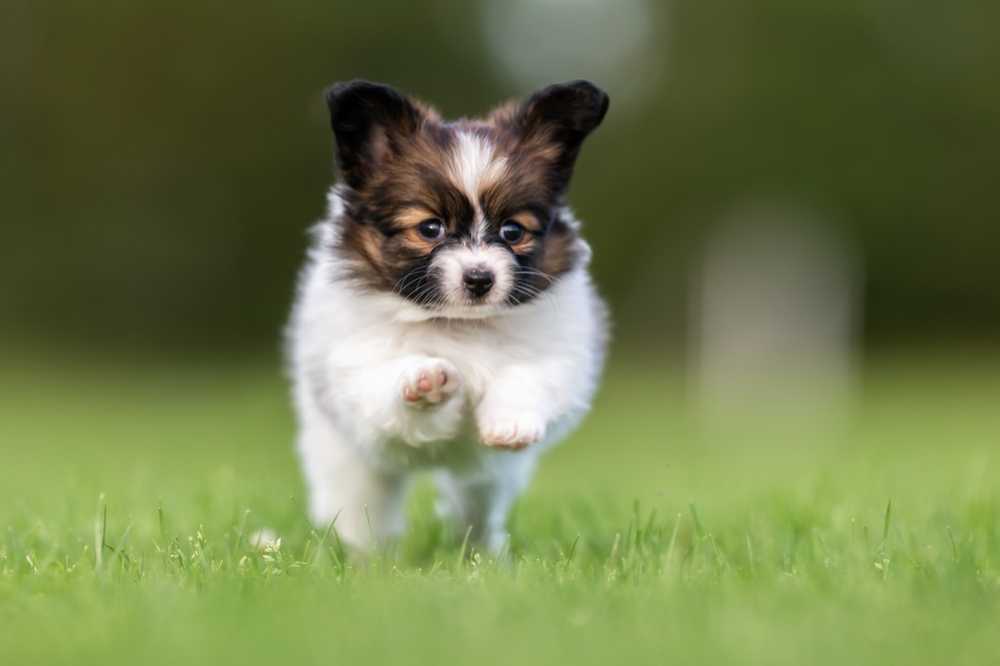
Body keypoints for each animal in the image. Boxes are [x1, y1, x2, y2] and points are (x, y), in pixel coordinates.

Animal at [286, 79, 604, 548]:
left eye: (513, 231)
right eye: (430, 228)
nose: (480, 278)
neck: (459, 324)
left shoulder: (558, 354)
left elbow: (527, 374)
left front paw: (510, 422)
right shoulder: (361, 372)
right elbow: (392, 389)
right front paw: (426, 380)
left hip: (486, 480)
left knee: (474, 507)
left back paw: (481, 550)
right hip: (347, 462)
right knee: (361, 512)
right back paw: (362, 555)